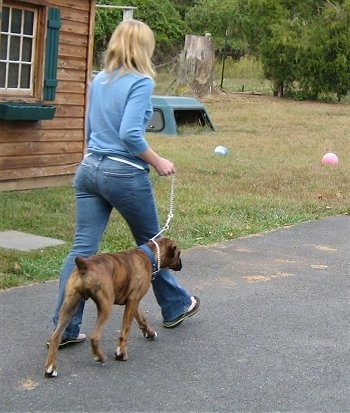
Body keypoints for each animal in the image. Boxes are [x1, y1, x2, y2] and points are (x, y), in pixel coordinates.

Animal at [44, 238, 182, 376]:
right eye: (179, 253)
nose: (181, 265)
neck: (149, 255)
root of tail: (84, 265)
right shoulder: (133, 301)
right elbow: (125, 330)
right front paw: (121, 353)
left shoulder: (133, 301)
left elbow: (142, 318)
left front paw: (149, 332)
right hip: (105, 306)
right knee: (95, 337)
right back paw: (99, 357)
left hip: (69, 306)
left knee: (55, 337)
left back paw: (50, 368)